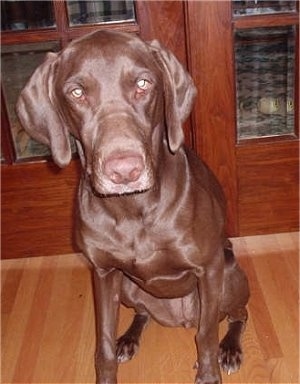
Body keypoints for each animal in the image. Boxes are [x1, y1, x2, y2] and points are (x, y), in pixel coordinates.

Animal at [17, 30, 251, 384]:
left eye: (143, 83)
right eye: (76, 92)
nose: (125, 170)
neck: (131, 210)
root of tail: (179, 316)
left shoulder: (208, 267)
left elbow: (206, 334)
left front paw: (209, 372)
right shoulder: (103, 273)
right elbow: (102, 344)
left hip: (228, 277)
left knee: (237, 315)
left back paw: (230, 348)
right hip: (128, 287)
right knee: (142, 313)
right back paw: (128, 338)